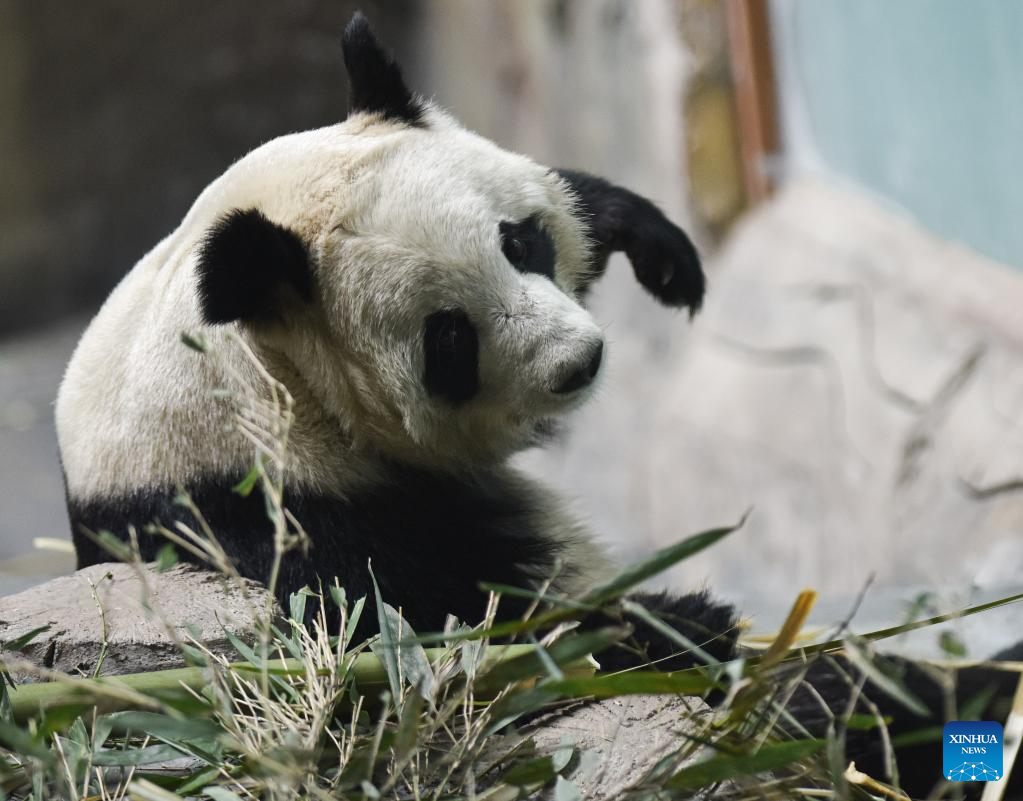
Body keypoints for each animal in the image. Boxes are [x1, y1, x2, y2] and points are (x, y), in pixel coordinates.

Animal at [57, 13, 1019, 797]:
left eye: (519, 243)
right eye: (448, 338)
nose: (579, 361)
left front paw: (651, 244)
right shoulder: (282, 522)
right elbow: (460, 651)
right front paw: (682, 621)